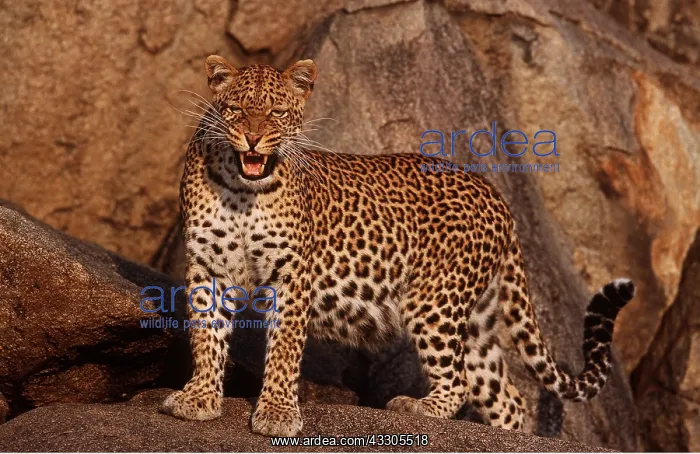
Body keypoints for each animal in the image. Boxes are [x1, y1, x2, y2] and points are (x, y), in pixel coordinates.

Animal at [161, 55, 636, 437]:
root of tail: (496, 194)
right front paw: (199, 397)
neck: (243, 191)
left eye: (277, 112)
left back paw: (417, 407)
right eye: (236, 109)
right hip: (476, 318)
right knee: (507, 395)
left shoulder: (292, 274)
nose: (254, 139)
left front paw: (276, 413)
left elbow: (284, 348)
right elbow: (206, 336)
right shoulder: (207, 267)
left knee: (459, 380)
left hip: (435, 300)